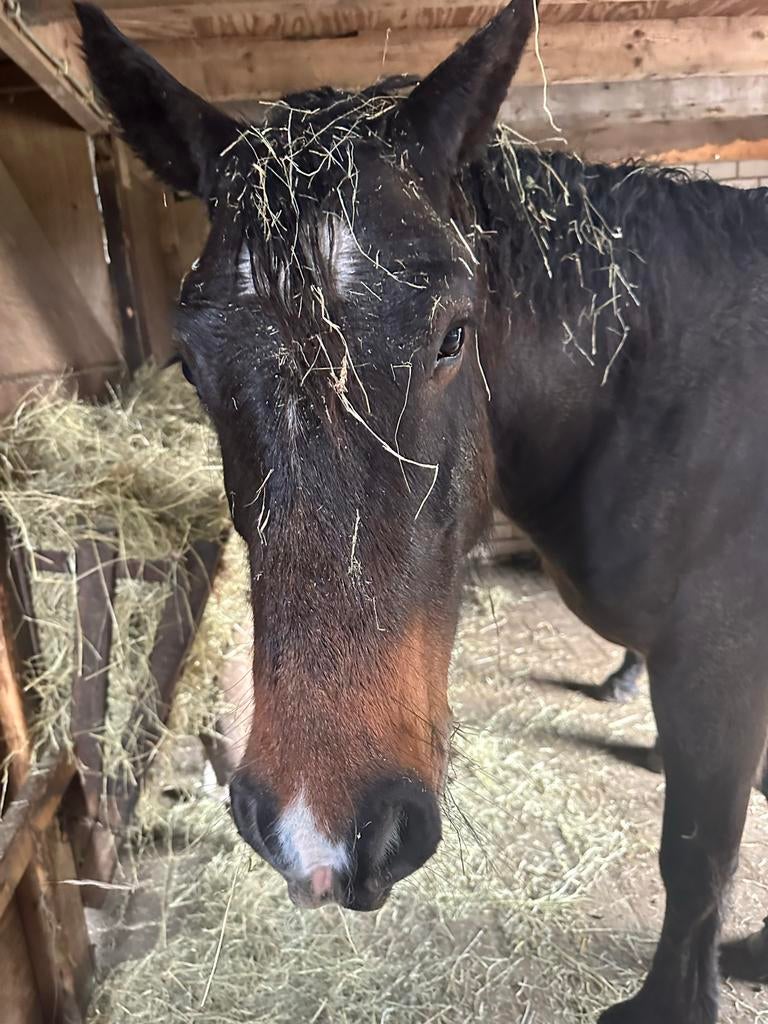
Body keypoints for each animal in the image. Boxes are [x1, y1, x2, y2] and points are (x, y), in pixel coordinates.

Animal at [76, 3, 768, 1021]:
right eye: (192, 366)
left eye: (454, 335)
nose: (321, 833)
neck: (661, 392)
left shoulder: (722, 670)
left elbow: (698, 855)